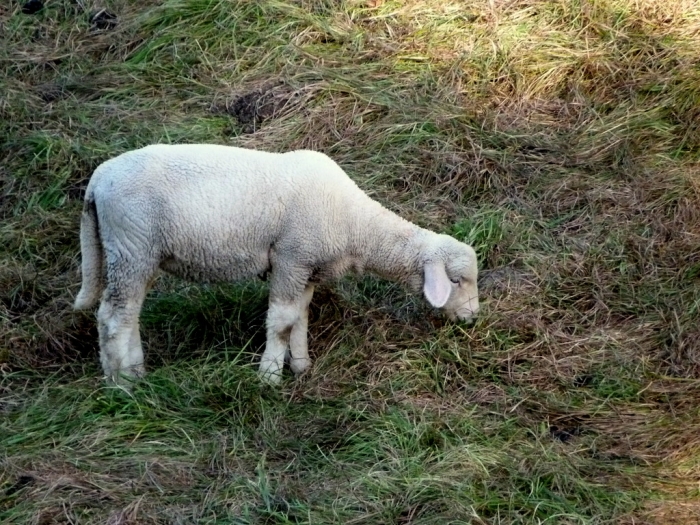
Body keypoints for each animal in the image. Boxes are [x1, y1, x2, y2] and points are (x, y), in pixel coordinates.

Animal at [74, 144, 480, 385]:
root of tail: (98, 180)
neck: (353, 223)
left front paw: (300, 365)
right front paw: (269, 376)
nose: (473, 318)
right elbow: (282, 321)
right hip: (131, 245)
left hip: (140, 254)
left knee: (129, 314)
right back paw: (121, 385)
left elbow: (300, 316)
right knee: (113, 318)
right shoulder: (291, 257)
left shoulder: (307, 267)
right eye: (456, 280)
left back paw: (137, 373)